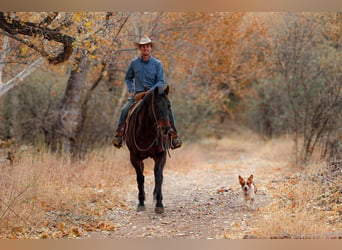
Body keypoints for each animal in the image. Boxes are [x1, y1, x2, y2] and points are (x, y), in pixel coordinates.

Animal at [125, 84, 171, 213]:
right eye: (155, 106)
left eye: (169, 106)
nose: (166, 129)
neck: (147, 133)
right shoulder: (134, 157)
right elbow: (140, 178)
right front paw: (141, 202)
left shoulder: (161, 155)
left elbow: (158, 176)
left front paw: (159, 204)